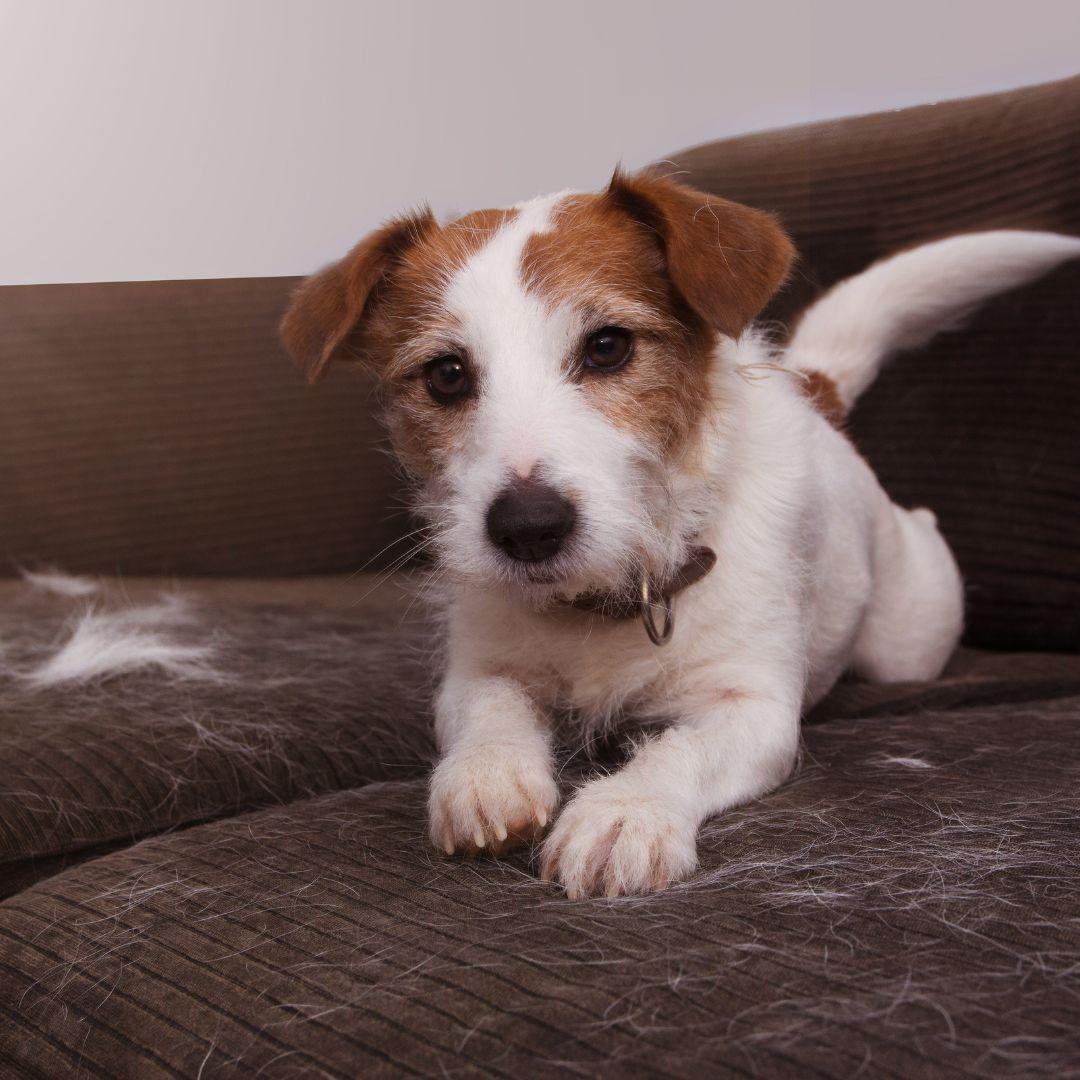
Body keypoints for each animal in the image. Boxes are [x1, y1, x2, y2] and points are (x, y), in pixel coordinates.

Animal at [280, 172, 1080, 898]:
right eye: (446, 375)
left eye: (607, 346)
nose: (527, 528)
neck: (608, 597)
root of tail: (814, 392)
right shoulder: (481, 669)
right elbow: (490, 709)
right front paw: (487, 772)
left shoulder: (752, 710)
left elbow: (680, 749)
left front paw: (625, 811)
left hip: (908, 641)